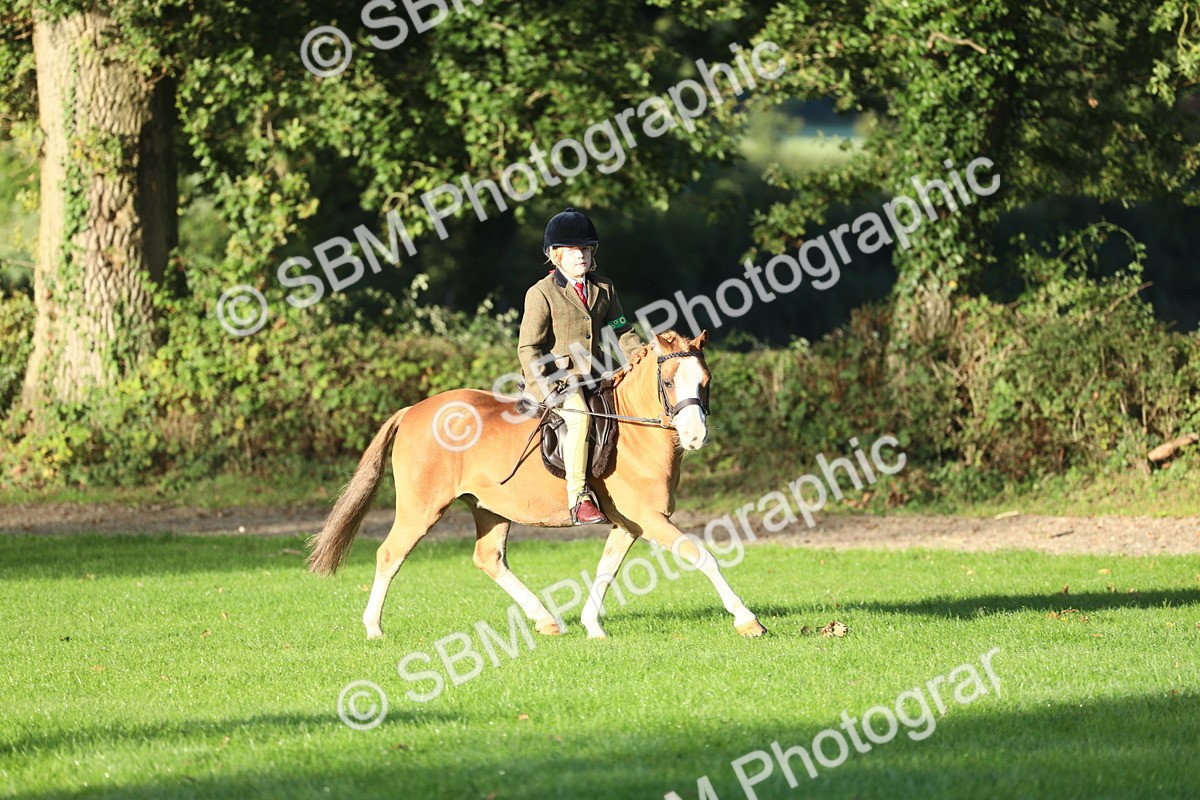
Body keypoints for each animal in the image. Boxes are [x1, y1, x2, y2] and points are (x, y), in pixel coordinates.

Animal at [307, 329, 766, 640]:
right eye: (669, 382)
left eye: (705, 382)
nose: (695, 437)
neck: (635, 431)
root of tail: (413, 410)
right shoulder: (651, 520)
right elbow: (703, 557)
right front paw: (747, 620)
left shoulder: (630, 524)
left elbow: (607, 569)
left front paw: (592, 626)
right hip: (422, 508)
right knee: (390, 554)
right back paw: (373, 628)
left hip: (489, 508)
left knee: (488, 558)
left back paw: (546, 620)